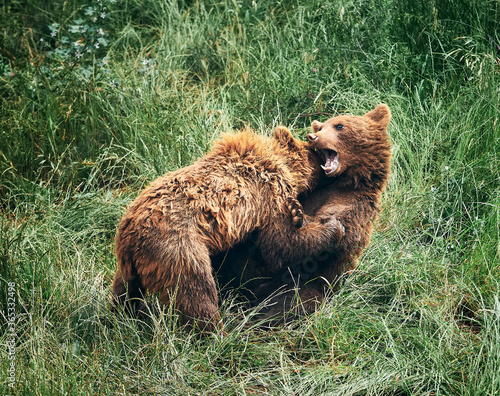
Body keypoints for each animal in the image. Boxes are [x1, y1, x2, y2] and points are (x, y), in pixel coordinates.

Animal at [112, 127, 344, 332]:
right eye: (317, 152)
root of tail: (130, 233)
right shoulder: (270, 194)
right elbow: (279, 244)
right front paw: (333, 227)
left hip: (128, 261)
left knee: (124, 290)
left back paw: (123, 315)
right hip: (177, 248)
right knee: (195, 292)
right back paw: (219, 333)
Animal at [213, 104, 392, 318]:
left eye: (339, 125)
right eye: (320, 127)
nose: (312, 136)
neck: (344, 183)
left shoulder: (353, 205)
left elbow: (298, 246)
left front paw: (297, 214)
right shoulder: (311, 194)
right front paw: (296, 211)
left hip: (300, 289)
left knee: (286, 307)